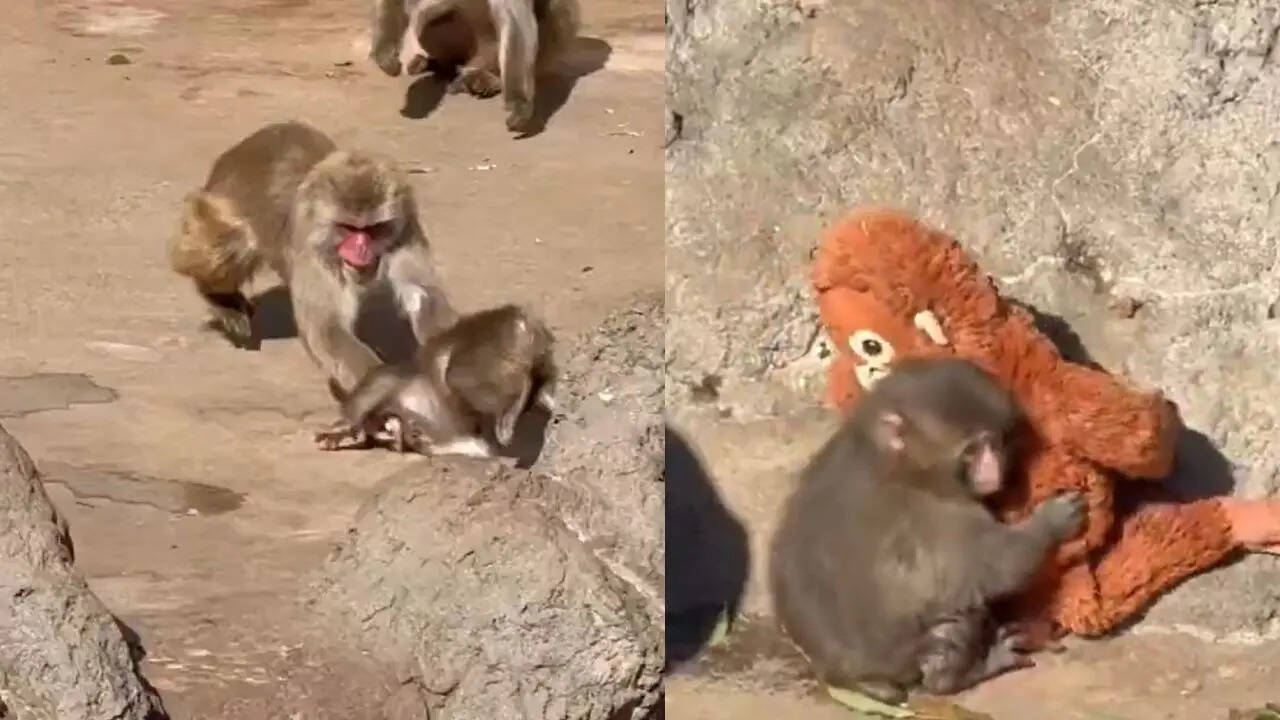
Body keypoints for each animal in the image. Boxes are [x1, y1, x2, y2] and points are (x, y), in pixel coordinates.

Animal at [167, 120, 458, 394]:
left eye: (374, 229)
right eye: (349, 228)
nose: (361, 249)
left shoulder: (405, 230)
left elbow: (422, 295)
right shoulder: (314, 250)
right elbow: (326, 327)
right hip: (222, 200)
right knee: (232, 240)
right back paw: (218, 297)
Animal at [313, 303, 555, 457]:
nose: (394, 434)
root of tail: (521, 323)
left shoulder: (383, 382)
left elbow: (362, 404)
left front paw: (336, 431)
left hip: (479, 357)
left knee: (461, 378)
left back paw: (509, 416)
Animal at [368, 0, 581, 132]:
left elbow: (512, 14)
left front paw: (519, 103)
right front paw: (384, 51)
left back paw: (489, 78)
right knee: (435, 17)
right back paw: (441, 65)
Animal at [768, 357, 1085, 706]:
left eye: (995, 442)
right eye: (971, 450)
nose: (994, 472)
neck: (896, 460)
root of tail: (842, 675)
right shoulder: (938, 513)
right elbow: (995, 566)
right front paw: (1053, 521)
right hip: (904, 656)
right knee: (956, 615)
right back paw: (962, 673)